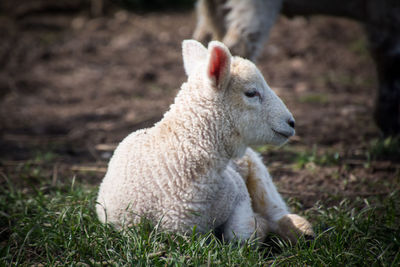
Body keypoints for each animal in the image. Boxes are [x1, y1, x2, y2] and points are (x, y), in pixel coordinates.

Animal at [95, 39, 314, 243]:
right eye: (251, 93)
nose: (291, 123)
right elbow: (242, 234)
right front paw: (260, 227)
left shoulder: (239, 193)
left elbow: (241, 232)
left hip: (256, 169)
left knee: (274, 205)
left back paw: (302, 230)